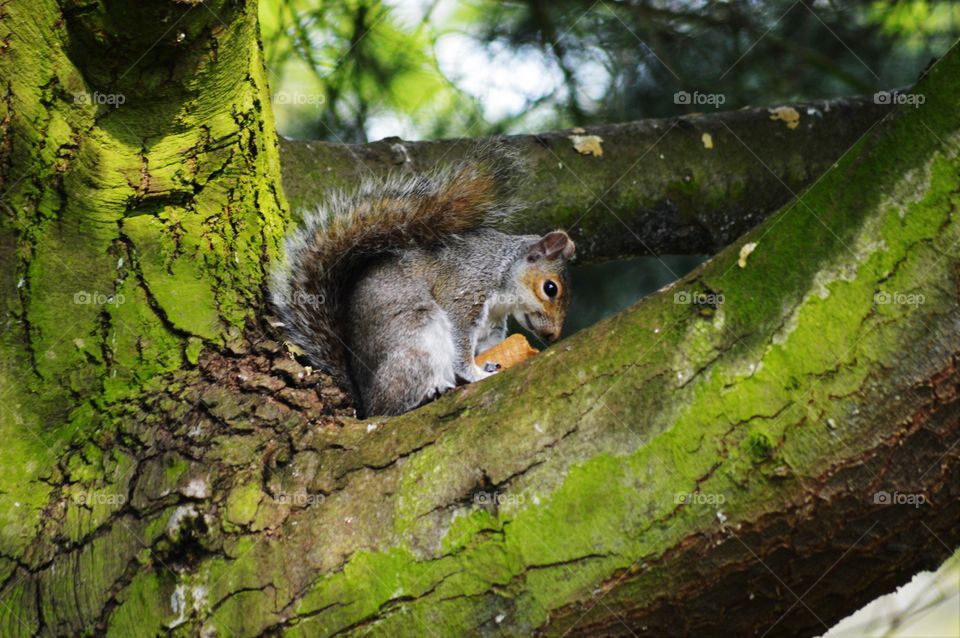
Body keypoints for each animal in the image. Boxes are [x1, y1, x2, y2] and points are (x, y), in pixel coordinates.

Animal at [266, 144, 572, 420]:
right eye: (550, 288)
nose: (553, 336)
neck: (501, 270)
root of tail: (364, 401)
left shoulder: (493, 325)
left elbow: (487, 345)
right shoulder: (464, 290)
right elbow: (461, 345)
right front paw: (476, 374)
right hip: (418, 340)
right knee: (392, 406)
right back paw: (428, 394)